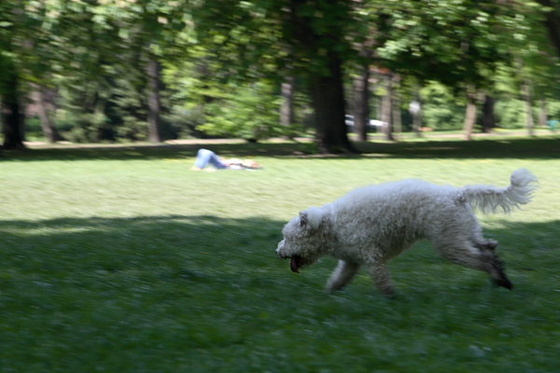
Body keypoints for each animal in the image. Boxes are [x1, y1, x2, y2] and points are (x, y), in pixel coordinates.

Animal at [276, 170, 540, 294]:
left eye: (288, 237)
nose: (278, 252)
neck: (333, 225)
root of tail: (456, 193)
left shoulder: (372, 257)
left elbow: (382, 282)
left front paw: (391, 298)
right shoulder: (351, 262)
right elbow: (337, 281)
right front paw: (328, 295)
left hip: (450, 243)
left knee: (483, 257)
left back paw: (499, 278)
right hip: (464, 233)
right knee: (490, 246)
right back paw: (501, 277)